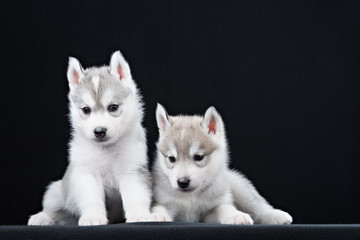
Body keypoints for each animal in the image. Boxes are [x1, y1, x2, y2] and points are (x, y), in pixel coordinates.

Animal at [27, 50, 152, 225]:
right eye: (86, 110)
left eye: (113, 107)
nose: (99, 131)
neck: (107, 149)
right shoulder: (87, 174)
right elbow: (92, 199)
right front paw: (93, 217)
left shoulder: (131, 170)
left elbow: (135, 195)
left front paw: (139, 215)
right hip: (56, 191)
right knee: (56, 211)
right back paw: (43, 217)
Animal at [151, 105, 292, 225]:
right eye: (171, 159)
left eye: (199, 157)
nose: (182, 182)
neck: (190, 198)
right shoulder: (164, 202)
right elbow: (158, 207)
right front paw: (157, 216)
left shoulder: (214, 207)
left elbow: (225, 208)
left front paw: (236, 215)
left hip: (239, 187)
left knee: (257, 205)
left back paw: (276, 215)